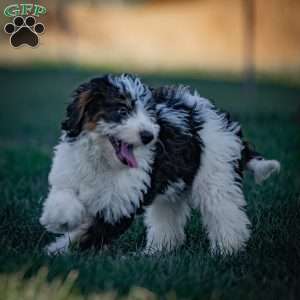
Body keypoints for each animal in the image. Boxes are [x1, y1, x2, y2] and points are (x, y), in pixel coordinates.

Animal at [38, 74, 280, 254]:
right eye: (122, 110)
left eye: (149, 114)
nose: (148, 136)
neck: (103, 161)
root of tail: (225, 121)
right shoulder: (69, 174)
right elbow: (63, 195)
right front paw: (60, 219)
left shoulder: (118, 207)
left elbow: (87, 234)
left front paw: (56, 251)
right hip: (175, 185)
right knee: (168, 215)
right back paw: (157, 252)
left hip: (216, 174)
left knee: (225, 211)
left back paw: (227, 250)